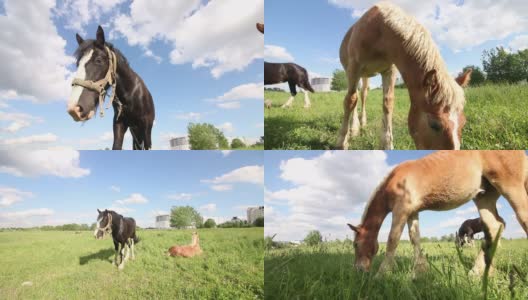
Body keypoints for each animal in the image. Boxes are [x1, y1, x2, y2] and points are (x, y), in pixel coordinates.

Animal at [336, 2, 472, 150]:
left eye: (464, 122)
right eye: (434, 125)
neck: (379, 30)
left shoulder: (389, 70)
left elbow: (387, 102)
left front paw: (387, 144)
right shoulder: (354, 67)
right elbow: (350, 101)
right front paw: (342, 142)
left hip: (365, 75)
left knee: (363, 95)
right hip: (356, 73)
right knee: (354, 97)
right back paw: (354, 128)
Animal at [346, 151, 528, 278]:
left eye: (355, 244)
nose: (358, 270)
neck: (395, 182)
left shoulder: (401, 210)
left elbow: (393, 239)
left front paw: (381, 274)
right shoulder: (412, 212)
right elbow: (415, 238)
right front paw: (420, 271)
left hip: (510, 186)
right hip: (484, 197)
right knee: (495, 226)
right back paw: (479, 272)